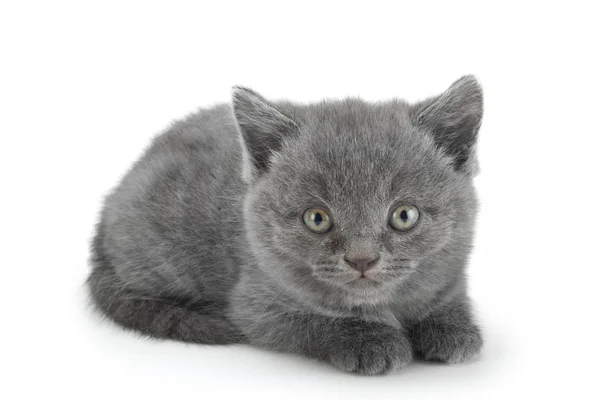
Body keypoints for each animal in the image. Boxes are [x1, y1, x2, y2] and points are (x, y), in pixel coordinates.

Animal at [88, 76, 482, 376]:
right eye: (317, 218)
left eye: (404, 215)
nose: (362, 259)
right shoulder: (255, 302)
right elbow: (310, 322)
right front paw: (372, 340)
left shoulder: (451, 275)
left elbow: (446, 299)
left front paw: (452, 328)